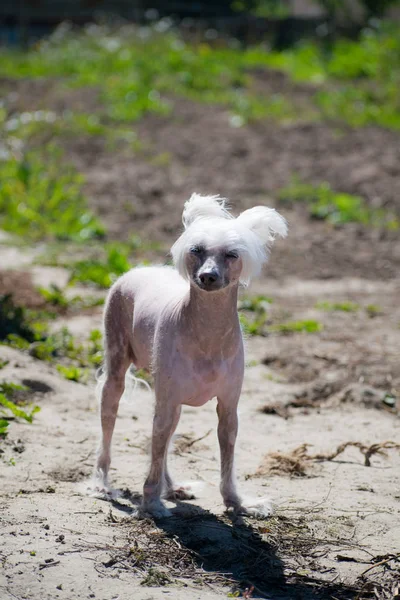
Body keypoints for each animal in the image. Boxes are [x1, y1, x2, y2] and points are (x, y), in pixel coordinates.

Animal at [94, 195, 288, 516]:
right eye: (197, 250)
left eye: (232, 254)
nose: (207, 276)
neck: (207, 332)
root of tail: (140, 269)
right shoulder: (167, 399)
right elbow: (156, 449)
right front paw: (151, 504)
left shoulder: (228, 407)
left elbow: (225, 456)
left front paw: (236, 502)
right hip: (117, 369)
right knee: (110, 425)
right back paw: (102, 483)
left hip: (172, 404)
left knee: (164, 440)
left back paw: (172, 487)